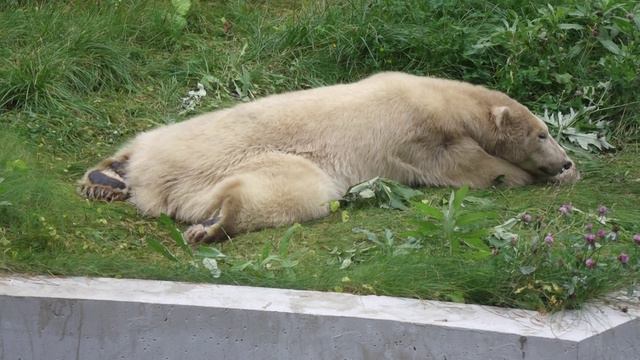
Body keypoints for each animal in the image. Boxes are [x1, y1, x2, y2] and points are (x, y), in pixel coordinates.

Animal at [77, 72, 576, 243]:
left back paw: (104, 179)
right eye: (543, 133)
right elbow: (469, 167)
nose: (566, 161)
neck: (442, 98)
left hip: (166, 137)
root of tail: (156, 180)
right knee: (295, 190)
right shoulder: (416, 136)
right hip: (252, 159)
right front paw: (529, 176)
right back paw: (213, 226)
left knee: (135, 143)